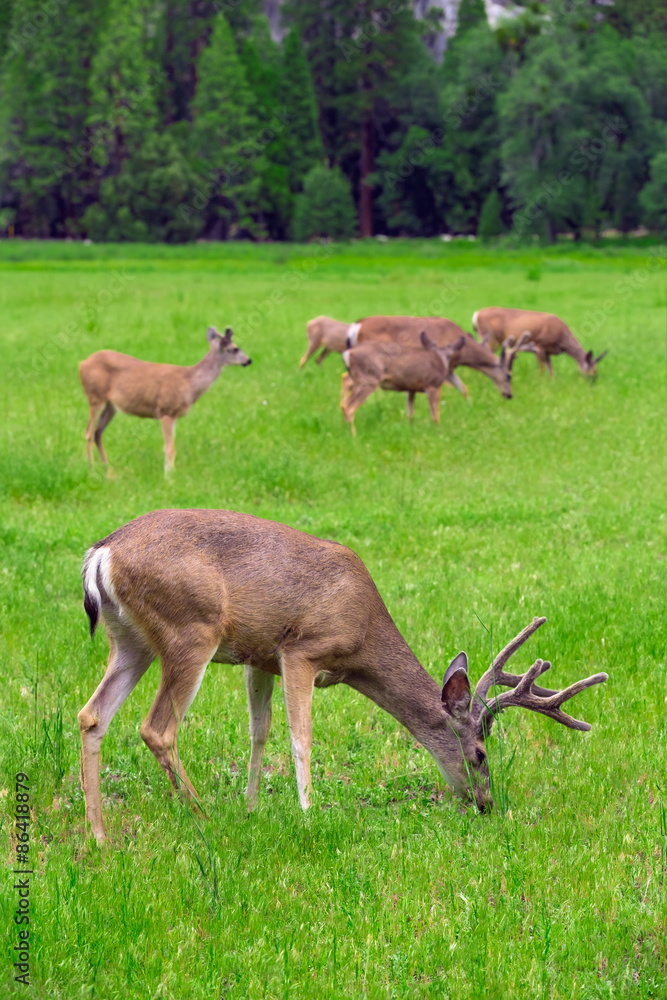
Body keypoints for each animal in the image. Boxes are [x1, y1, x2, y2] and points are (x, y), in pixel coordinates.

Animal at [78, 508, 612, 844]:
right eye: (480, 753)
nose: (485, 805)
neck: (363, 638)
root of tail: (101, 554)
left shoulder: (259, 657)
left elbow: (259, 732)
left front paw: (251, 808)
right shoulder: (300, 649)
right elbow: (300, 736)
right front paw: (308, 814)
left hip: (131, 639)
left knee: (92, 715)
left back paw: (101, 836)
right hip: (191, 629)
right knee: (157, 728)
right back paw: (202, 815)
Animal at [79, 324, 252, 472]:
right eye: (235, 349)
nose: (249, 360)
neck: (189, 382)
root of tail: (82, 363)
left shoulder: (174, 416)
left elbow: (168, 447)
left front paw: (169, 473)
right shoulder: (166, 410)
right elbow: (170, 448)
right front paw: (170, 477)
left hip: (111, 406)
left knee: (98, 433)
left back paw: (109, 471)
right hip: (95, 396)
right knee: (88, 432)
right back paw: (91, 468)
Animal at [472, 306, 608, 376]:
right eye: (592, 371)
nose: (592, 384)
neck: (561, 337)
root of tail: (476, 314)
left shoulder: (548, 352)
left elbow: (551, 371)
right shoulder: (540, 346)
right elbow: (542, 369)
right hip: (491, 339)